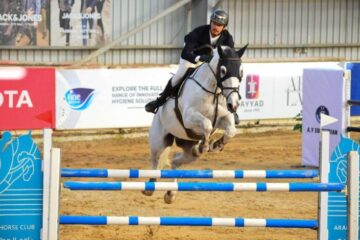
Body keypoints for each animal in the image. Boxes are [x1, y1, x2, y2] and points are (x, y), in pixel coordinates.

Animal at [143, 44, 248, 202]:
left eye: (241, 71)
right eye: (223, 70)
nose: (234, 104)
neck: (214, 91)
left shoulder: (223, 118)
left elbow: (230, 130)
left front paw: (216, 144)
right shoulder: (189, 117)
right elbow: (207, 124)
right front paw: (204, 145)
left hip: (188, 150)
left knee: (176, 161)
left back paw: (170, 193)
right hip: (158, 141)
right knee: (155, 160)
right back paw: (150, 187)